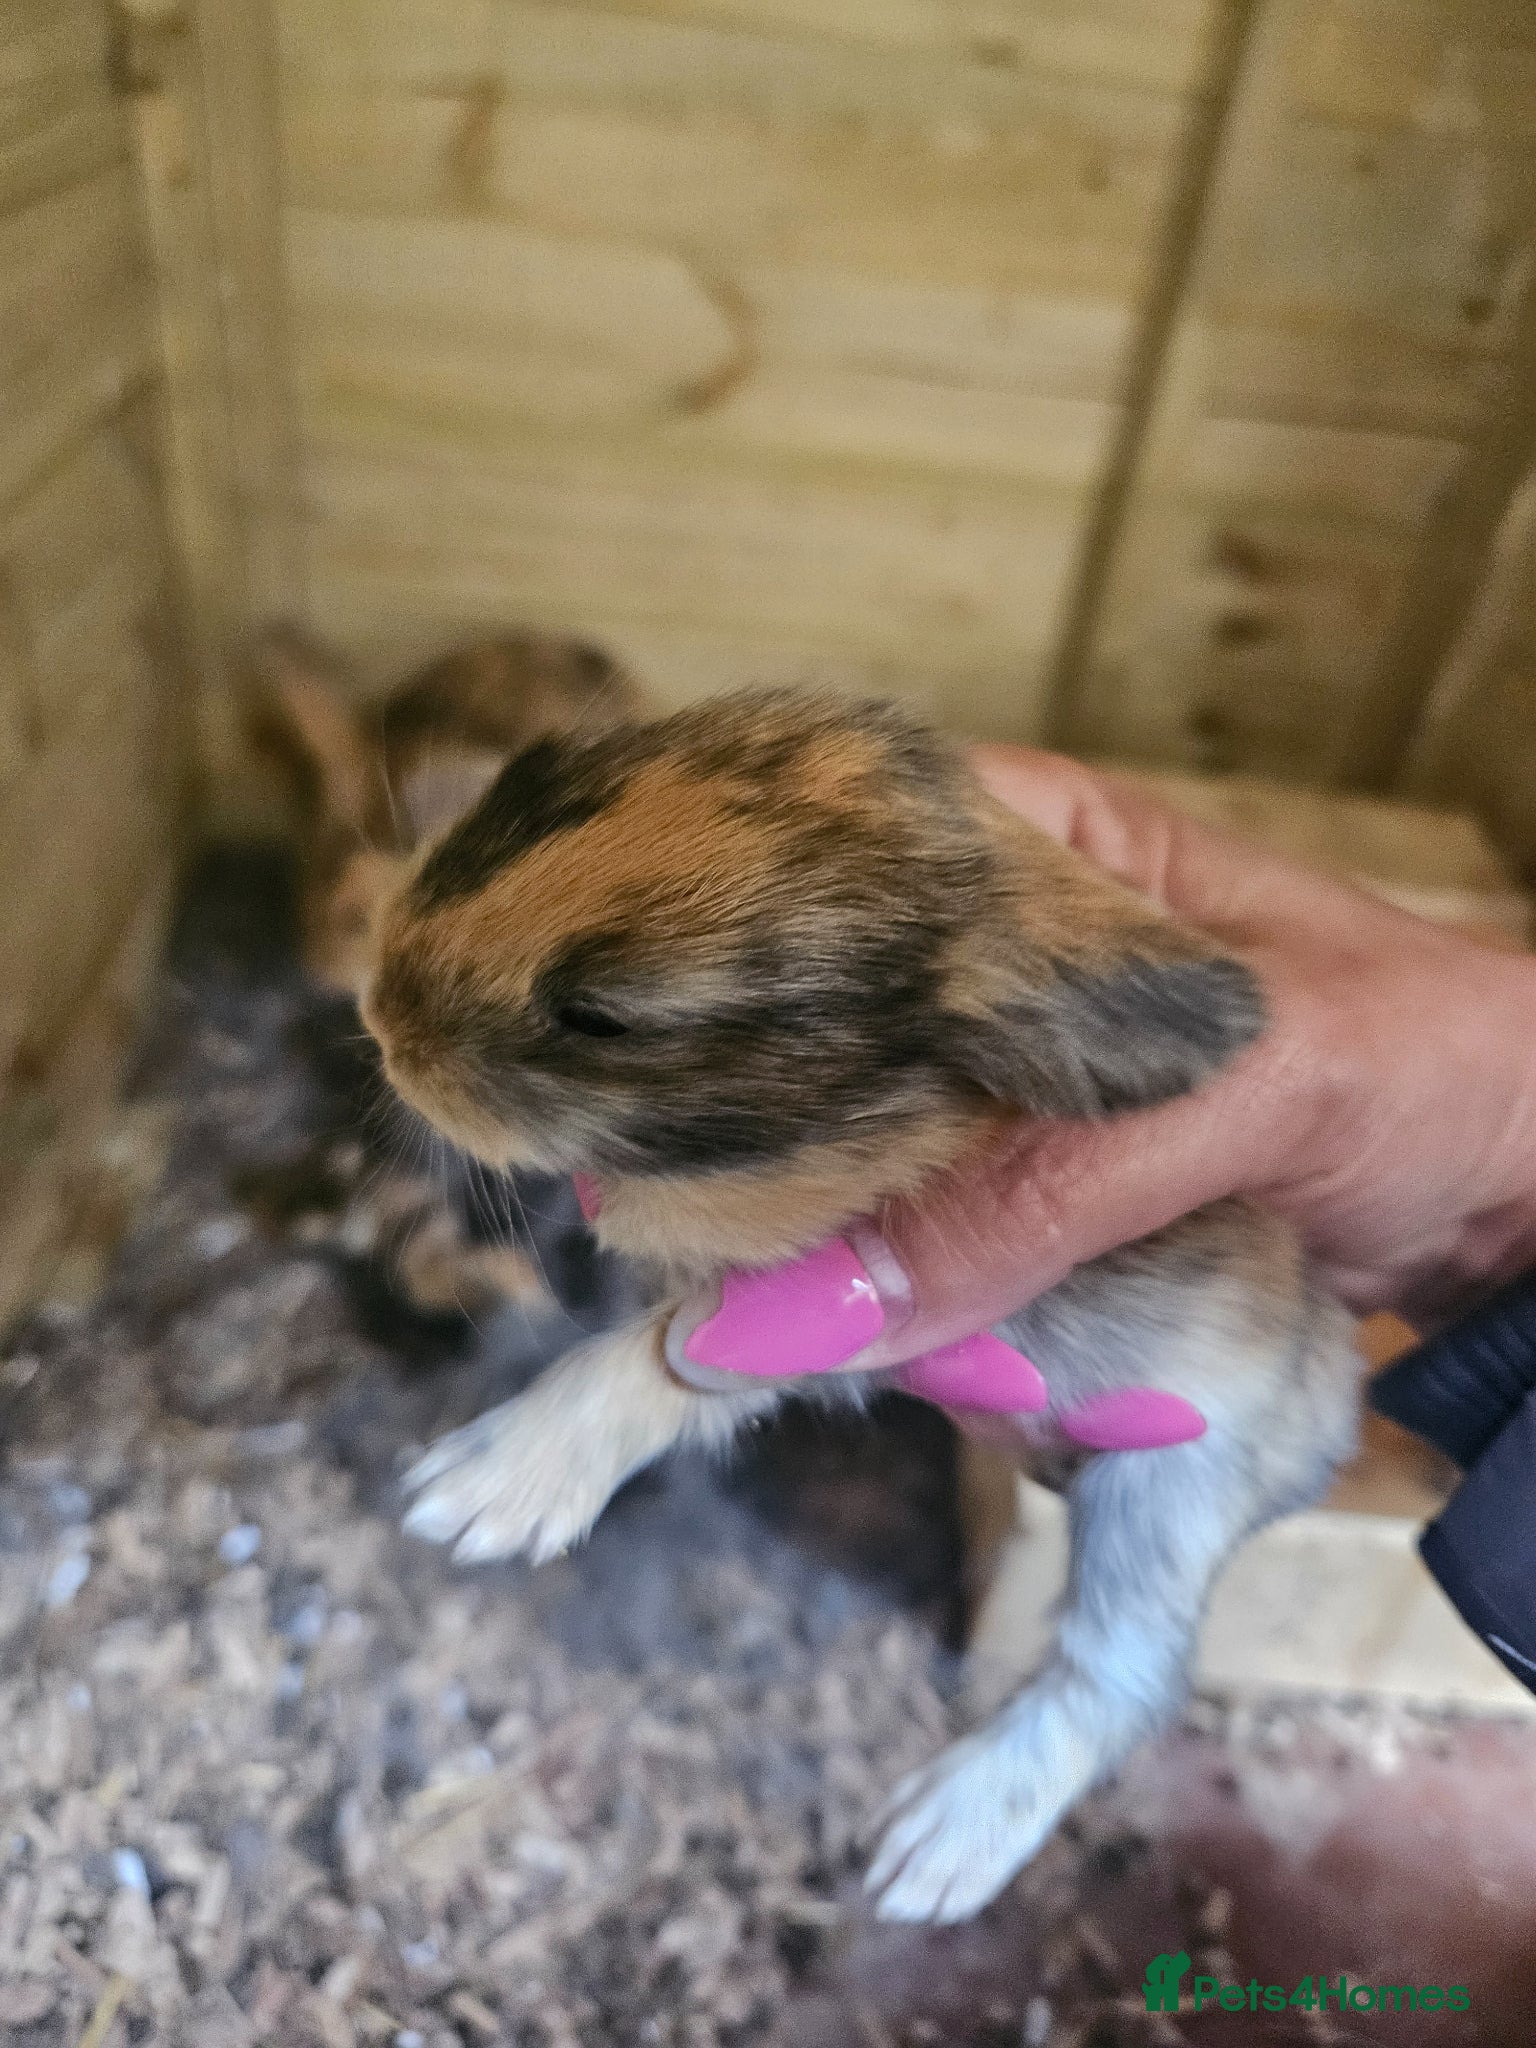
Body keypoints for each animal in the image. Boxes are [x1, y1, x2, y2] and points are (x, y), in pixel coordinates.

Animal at [360, 687, 1361, 1925]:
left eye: (602, 1015)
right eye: (517, 782)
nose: (380, 1015)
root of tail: (1335, 1412)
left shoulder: (808, 1312)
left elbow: (647, 1361)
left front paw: (462, 1494)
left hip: (1166, 1492)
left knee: (1127, 1671)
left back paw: (926, 1851)